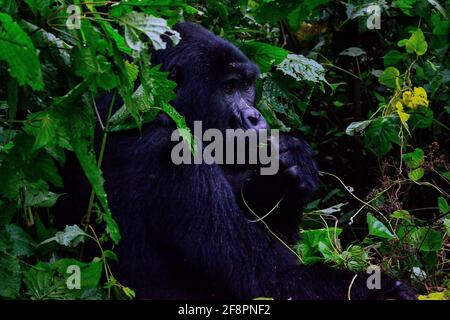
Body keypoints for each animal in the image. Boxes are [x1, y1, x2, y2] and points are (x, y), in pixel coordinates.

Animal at [56, 22, 414, 300]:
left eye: (246, 86)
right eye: (228, 88)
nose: (255, 117)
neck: (152, 107)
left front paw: (286, 174)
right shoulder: (178, 159)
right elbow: (263, 281)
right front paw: (383, 289)